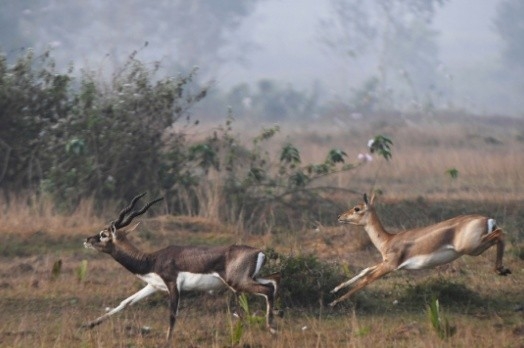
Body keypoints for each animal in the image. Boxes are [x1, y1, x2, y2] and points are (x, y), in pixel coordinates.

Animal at [84, 194, 280, 344]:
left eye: (103, 234)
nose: (87, 240)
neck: (151, 260)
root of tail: (259, 251)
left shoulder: (173, 285)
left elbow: (172, 315)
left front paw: (167, 342)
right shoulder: (153, 286)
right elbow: (125, 302)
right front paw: (89, 324)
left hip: (237, 283)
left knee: (268, 289)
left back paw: (272, 329)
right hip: (251, 278)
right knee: (274, 282)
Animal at [330, 193, 510, 308]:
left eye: (357, 208)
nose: (339, 217)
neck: (388, 239)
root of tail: (487, 219)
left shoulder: (390, 266)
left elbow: (366, 280)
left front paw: (334, 302)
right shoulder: (385, 262)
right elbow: (365, 270)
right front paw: (335, 289)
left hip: (472, 248)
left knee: (501, 233)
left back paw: (501, 269)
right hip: (476, 248)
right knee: (500, 235)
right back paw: (503, 270)